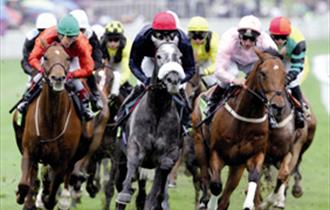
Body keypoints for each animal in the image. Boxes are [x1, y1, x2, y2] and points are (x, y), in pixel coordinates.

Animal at [13, 41, 84, 209]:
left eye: (67, 58)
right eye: (45, 57)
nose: (57, 78)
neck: (51, 119)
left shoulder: (63, 161)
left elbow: (52, 192)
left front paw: (48, 199)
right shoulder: (29, 150)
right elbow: (25, 184)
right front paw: (21, 196)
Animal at [115, 43, 183, 210]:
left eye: (180, 56)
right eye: (159, 56)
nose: (173, 80)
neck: (158, 108)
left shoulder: (172, 151)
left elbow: (163, 170)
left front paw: (156, 200)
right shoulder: (135, 145)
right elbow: (133, 163)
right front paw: (125, 195)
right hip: (120, 158)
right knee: (122, 180)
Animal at [192, 48, 288, 210]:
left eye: (285, 75)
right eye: (263, 73)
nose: (278, 106)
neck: (245, 117)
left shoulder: (254, 154)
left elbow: (254, 178)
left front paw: (250, 204)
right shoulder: (216, 153)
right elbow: (216, 185)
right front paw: (210, 203)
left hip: (236, 166)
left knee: (225, 197)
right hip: (200, 145)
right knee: (206, 178)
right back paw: (204, 200)